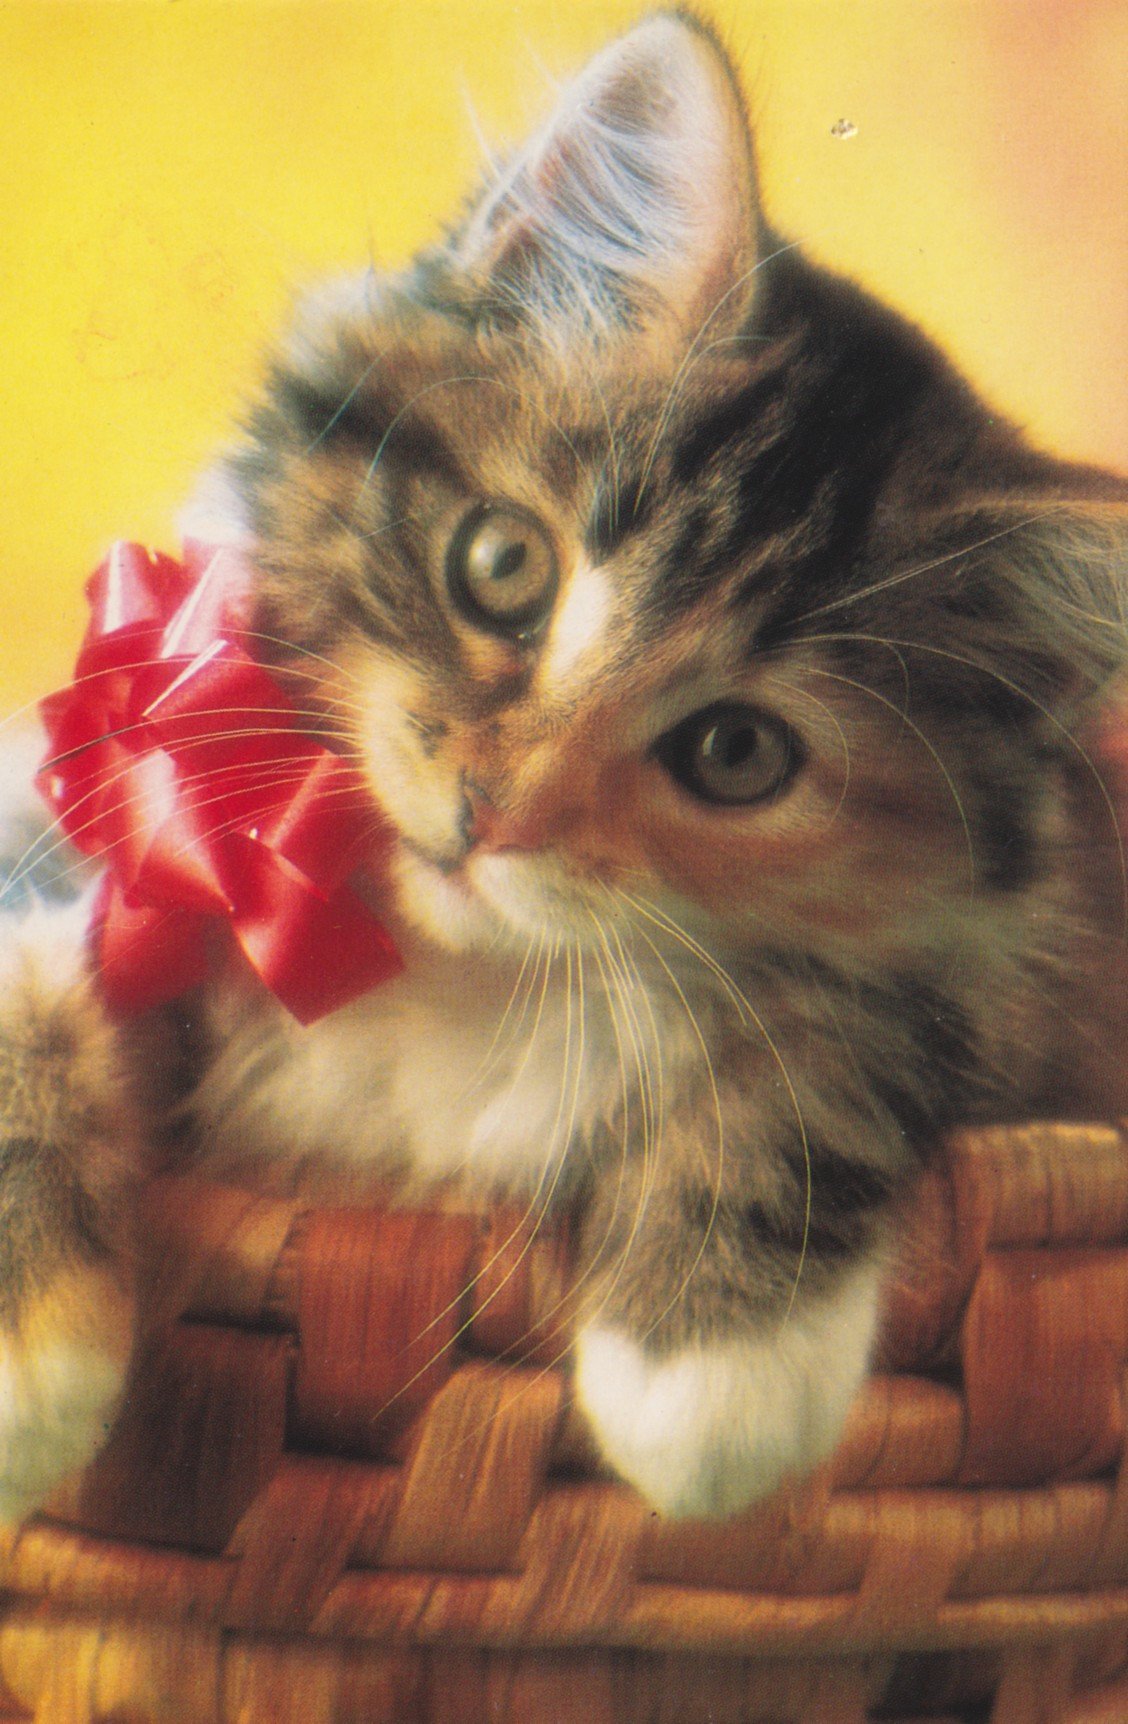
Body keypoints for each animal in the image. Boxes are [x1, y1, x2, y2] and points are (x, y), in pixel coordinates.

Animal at [1, 8, 1126, 1524]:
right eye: (502, 563)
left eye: (735, 751)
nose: (492, 814)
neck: (443, 971)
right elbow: (25, 992)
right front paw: (29, 1358)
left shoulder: (1018, 984)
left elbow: (833, 1044)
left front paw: (709, 1375)